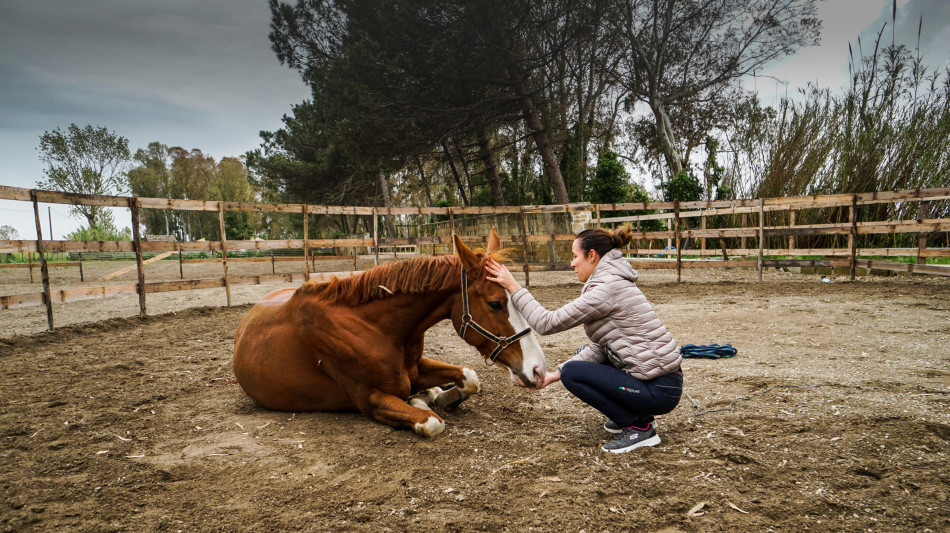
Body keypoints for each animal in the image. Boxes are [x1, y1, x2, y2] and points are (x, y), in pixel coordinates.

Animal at [231, 229, 548, 436]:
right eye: (495, 303)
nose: (538, 369)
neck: (377, 328)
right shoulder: (372, 400)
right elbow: (431, 422)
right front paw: (425, 402)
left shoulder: (415, 369)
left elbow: (470, 378)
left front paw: (441, 396)